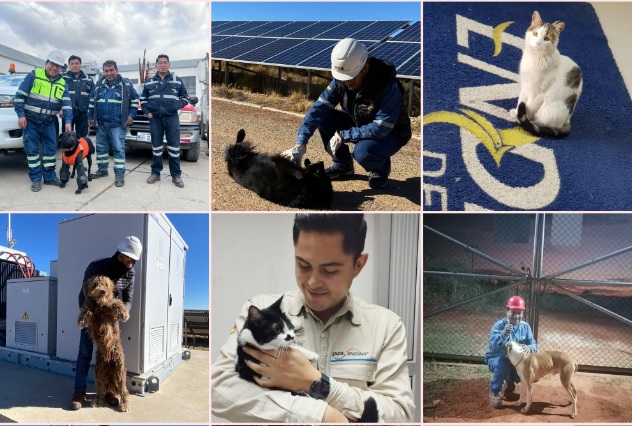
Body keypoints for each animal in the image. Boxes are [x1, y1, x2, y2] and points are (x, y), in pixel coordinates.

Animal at [78, 274, 130, 412]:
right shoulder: (91, 308)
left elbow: (116, 302)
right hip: (99, 372)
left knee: (123, 390)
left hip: (119, 370)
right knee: (101, 390)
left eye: (106, 284)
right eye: (95, 284)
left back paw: (125, 404)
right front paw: (81, 320)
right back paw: (98, 402)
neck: (100, 306)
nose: (103, 291)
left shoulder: (109, 306)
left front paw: (124, 313)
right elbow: (85, 310)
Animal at [235, 296, 378, 422]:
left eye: (289, 326)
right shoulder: (255, 364)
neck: (251, 338)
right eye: (276, 329)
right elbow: (283, 348)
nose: (291, 336)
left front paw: (296, 323)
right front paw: (311, 354)